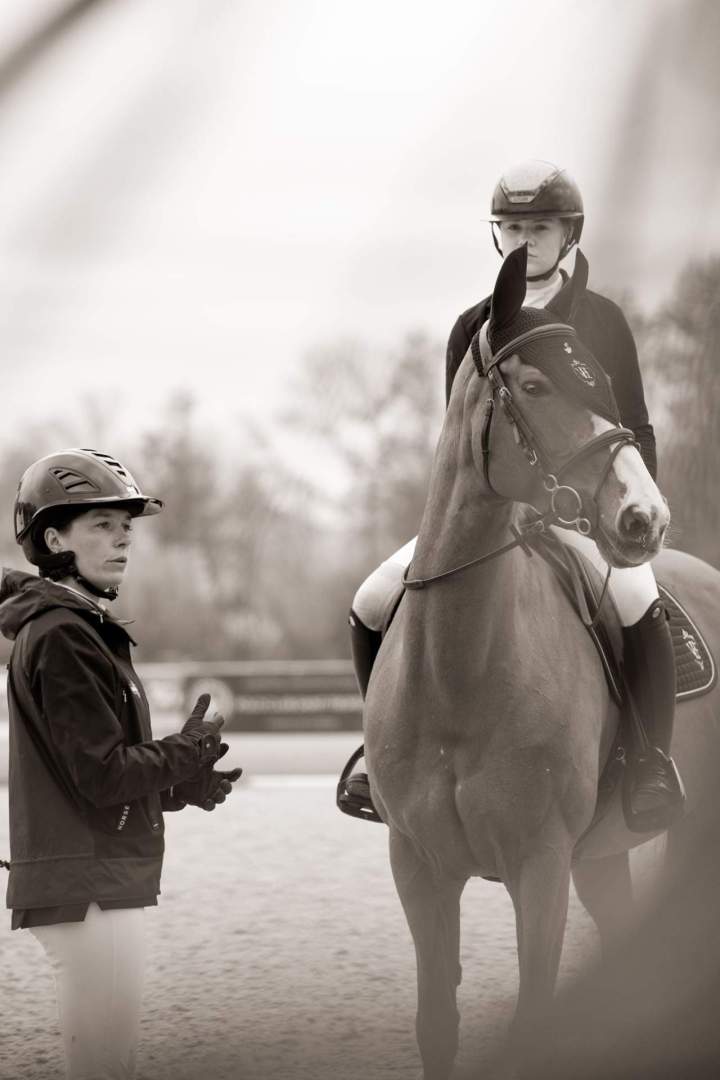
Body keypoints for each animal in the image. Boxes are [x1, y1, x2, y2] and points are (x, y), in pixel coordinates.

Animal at [363, 245, 720, 1079]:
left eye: (606, 383)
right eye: (532, 386)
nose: (644, 519)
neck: (456, 675)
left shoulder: (540, 865)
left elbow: (534, 1023)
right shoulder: (418, 866)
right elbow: (437, 1023)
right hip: (602, 861)